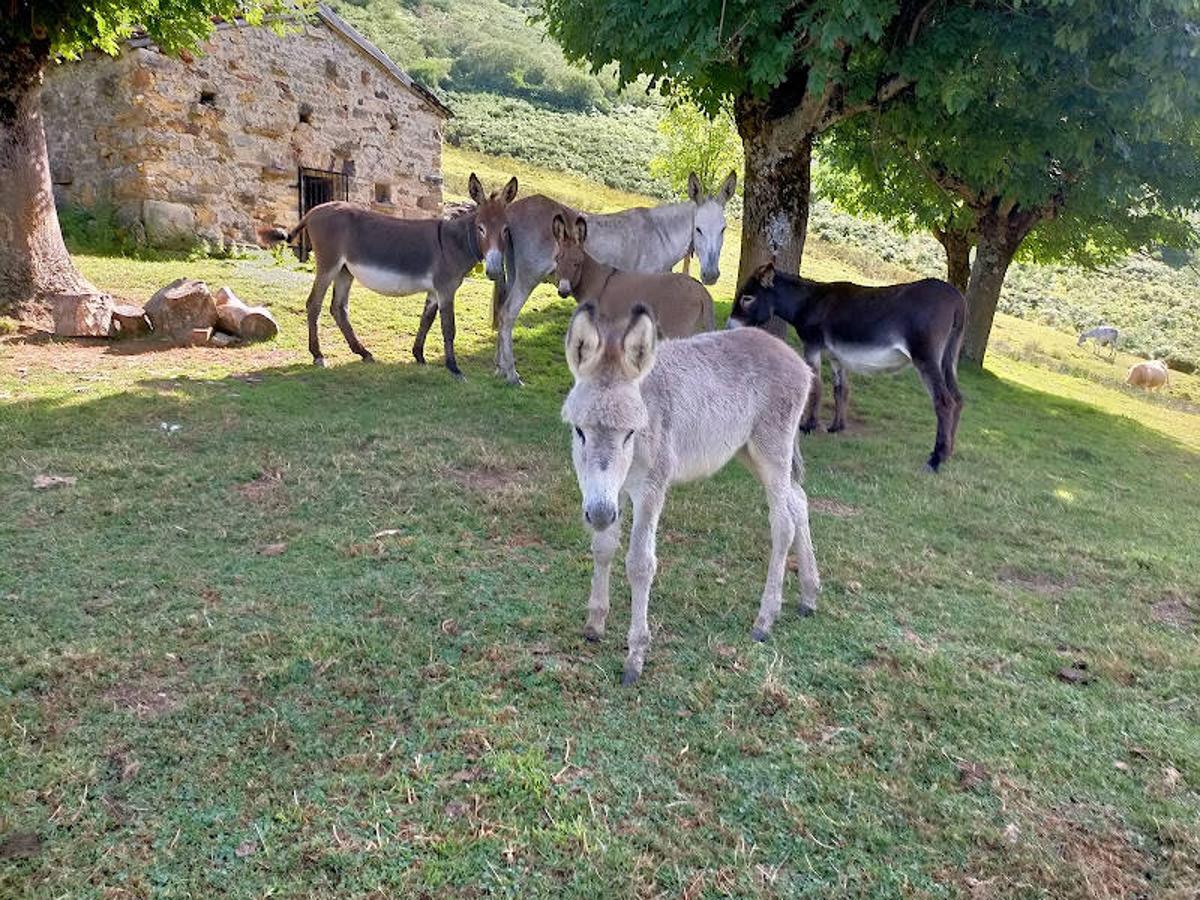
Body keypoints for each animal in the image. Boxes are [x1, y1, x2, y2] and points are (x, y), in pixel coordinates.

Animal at [561, 303, 825, 681]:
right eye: (579, 431)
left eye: (630, 434)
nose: (598, 514)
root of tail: (790, 354)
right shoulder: (613, 493)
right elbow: (603, 548)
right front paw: (595, 624)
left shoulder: (650, 488)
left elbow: (640, 563)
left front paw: (635, 656)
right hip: (749, 451)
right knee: (799, 500)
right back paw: (808, 595)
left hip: (772, 448)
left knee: (783, 525)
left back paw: (765, 620)